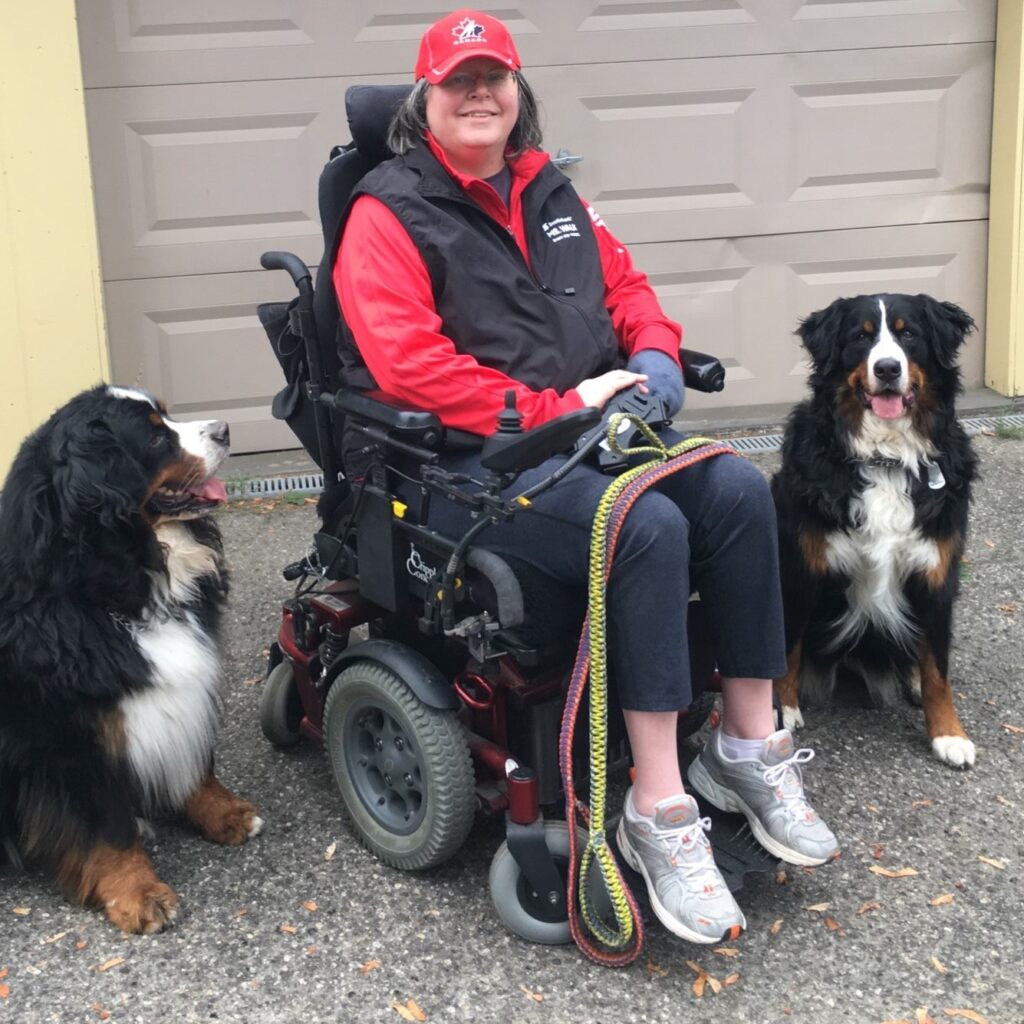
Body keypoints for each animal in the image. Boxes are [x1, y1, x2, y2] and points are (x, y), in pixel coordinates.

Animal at [0, 382, 262, 929]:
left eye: (167, 417)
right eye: (157, 437)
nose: (225, 428)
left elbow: (198, 761)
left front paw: (223, 812)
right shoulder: (75, 735)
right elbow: (108, 824)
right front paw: (137, 892)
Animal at [770, 290, 978, 770]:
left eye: (909, 334)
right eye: (860, 338)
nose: (886, 369)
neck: (886, 460)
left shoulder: (937, 576)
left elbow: (938, 669)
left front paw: (948, 733)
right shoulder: (801, 571)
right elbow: (787, 648)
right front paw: (783, 709)